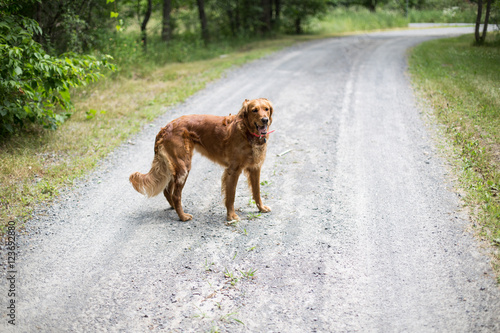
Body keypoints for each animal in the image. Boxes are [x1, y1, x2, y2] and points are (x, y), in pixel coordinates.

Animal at [130, 97, 274, 222]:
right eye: (254, 110)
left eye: (266, 109)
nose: (265, 120)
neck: (247, 132)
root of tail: (165, 128)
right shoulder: (233, 170)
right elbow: (231, 195)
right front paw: (231, 216)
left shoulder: (255, 168)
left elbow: (257, 191)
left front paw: (261, 208)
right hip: (184, 167)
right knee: (176, 195)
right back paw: (183, 216)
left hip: (174, 167)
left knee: (167, 191)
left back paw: (174, 208)